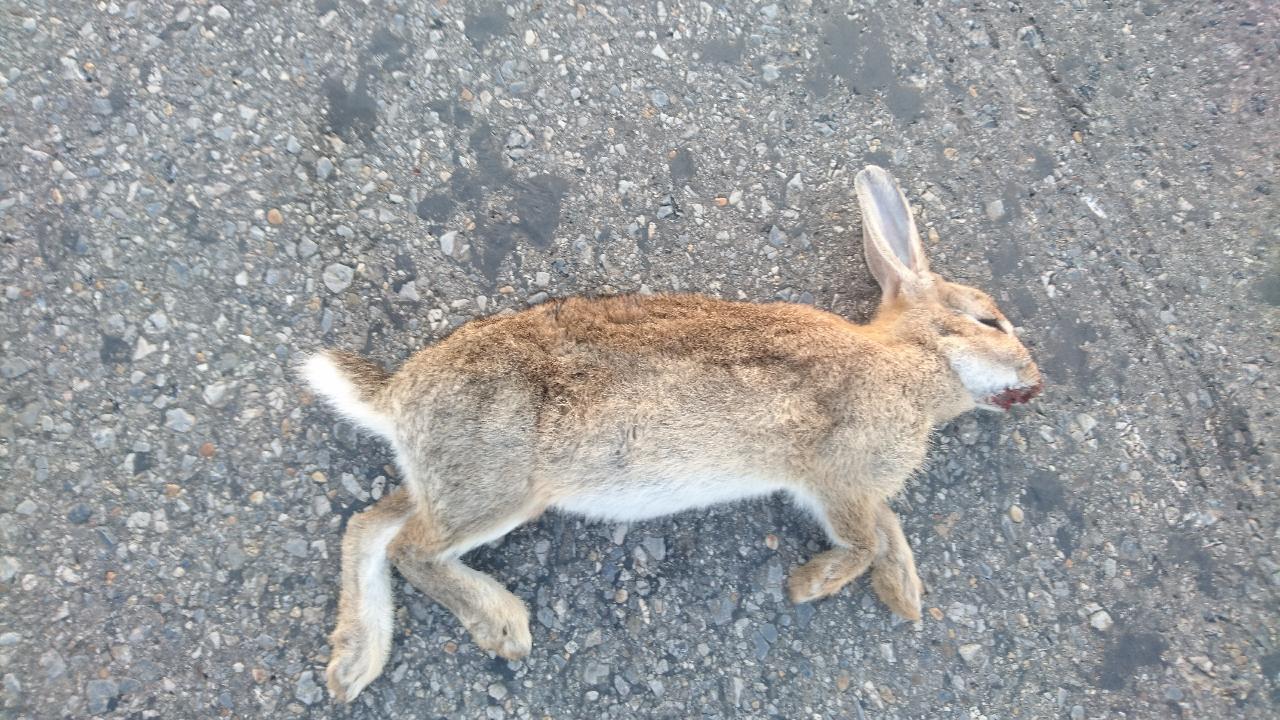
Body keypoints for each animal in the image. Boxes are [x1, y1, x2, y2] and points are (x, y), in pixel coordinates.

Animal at [301, 165, 1043, 702]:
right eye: (989, 321)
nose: (1036, 380)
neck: (909, 361)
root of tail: (396, 396)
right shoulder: (836, 477)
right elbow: (866, 540)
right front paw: (811, 586)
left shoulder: (853, 488)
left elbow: (887, 531)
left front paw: (905, 595)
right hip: (500, 487)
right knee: (412, 549)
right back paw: (501, 623)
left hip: (450, 478)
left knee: (370, 525)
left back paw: (353, 662)